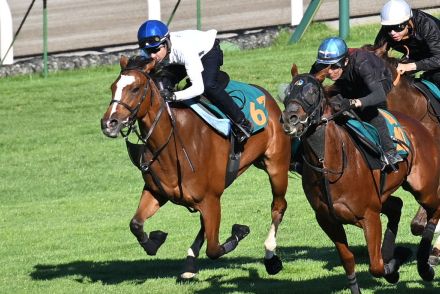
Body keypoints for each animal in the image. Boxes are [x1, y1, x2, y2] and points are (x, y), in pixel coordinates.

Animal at [101, 56, 290, 280]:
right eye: (113, 87)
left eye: (135, 88)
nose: (109, 123)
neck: (172, 144)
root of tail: (266, 96)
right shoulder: (157, 192)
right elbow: (136, 224)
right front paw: (155, 241)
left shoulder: (211, 199)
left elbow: (214, 249)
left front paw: (239, 231)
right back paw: (190, 264)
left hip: (276, 165)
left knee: (278, 207)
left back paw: (271, 257)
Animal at [280, 65, 440, 294]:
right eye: (287, 92)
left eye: (312, 92)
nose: (290, 119)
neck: (329, 166)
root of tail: (419, 126)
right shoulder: (328, 220)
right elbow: (348, 260)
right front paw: (394, 259)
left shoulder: (369, 216)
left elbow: (376, 266)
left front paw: (395, 263)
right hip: (384, 195)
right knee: (397, 205)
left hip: (423, 188)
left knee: (433, 211)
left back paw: (425, 265)